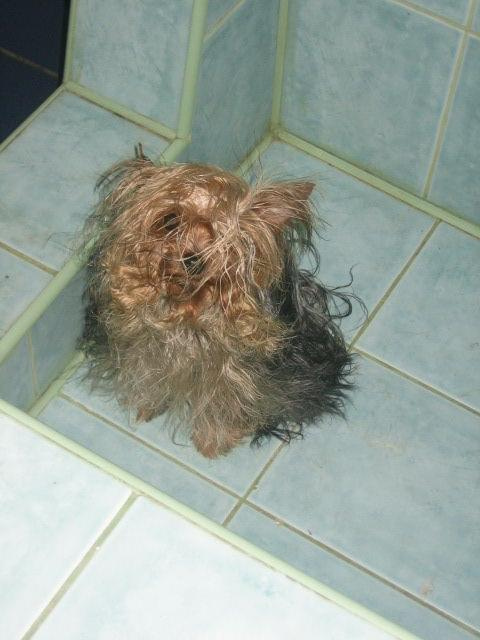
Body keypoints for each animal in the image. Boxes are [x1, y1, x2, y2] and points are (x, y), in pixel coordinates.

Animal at [80, 147, 356, 458]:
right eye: (170, 220)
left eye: (225, 236)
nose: (192, 260)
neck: (188, 306)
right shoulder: (141, 350)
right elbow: (148, 378)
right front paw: (147, 406)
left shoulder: (234, 376)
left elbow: (224, 404)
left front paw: (213, 443)